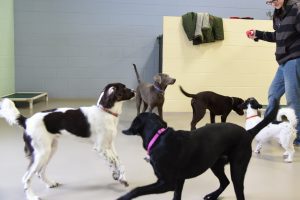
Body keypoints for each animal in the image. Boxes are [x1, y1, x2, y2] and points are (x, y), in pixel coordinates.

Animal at [0, 82, 134, 200]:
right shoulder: (100, 147)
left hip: (50, 150)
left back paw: (50, 183)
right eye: (124, 88)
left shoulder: (110, 145)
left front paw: (119, 176)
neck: (106, 112)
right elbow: (114, 162)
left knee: (39, 172)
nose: (135, 91)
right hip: (41, 153)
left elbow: (118, 162)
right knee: (26, 177)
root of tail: (26, 121)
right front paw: (119, 177)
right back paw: (31, 196)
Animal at [117, 100, 278, 200]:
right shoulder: (179, 180)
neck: (158, 136)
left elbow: (137, 189)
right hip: (216, 165)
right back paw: (212, 196)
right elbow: (176, 196)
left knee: (238, 191)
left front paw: (123, 197)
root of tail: (247, 133)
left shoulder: (167, 183)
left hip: (237, 169)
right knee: (224, 182)